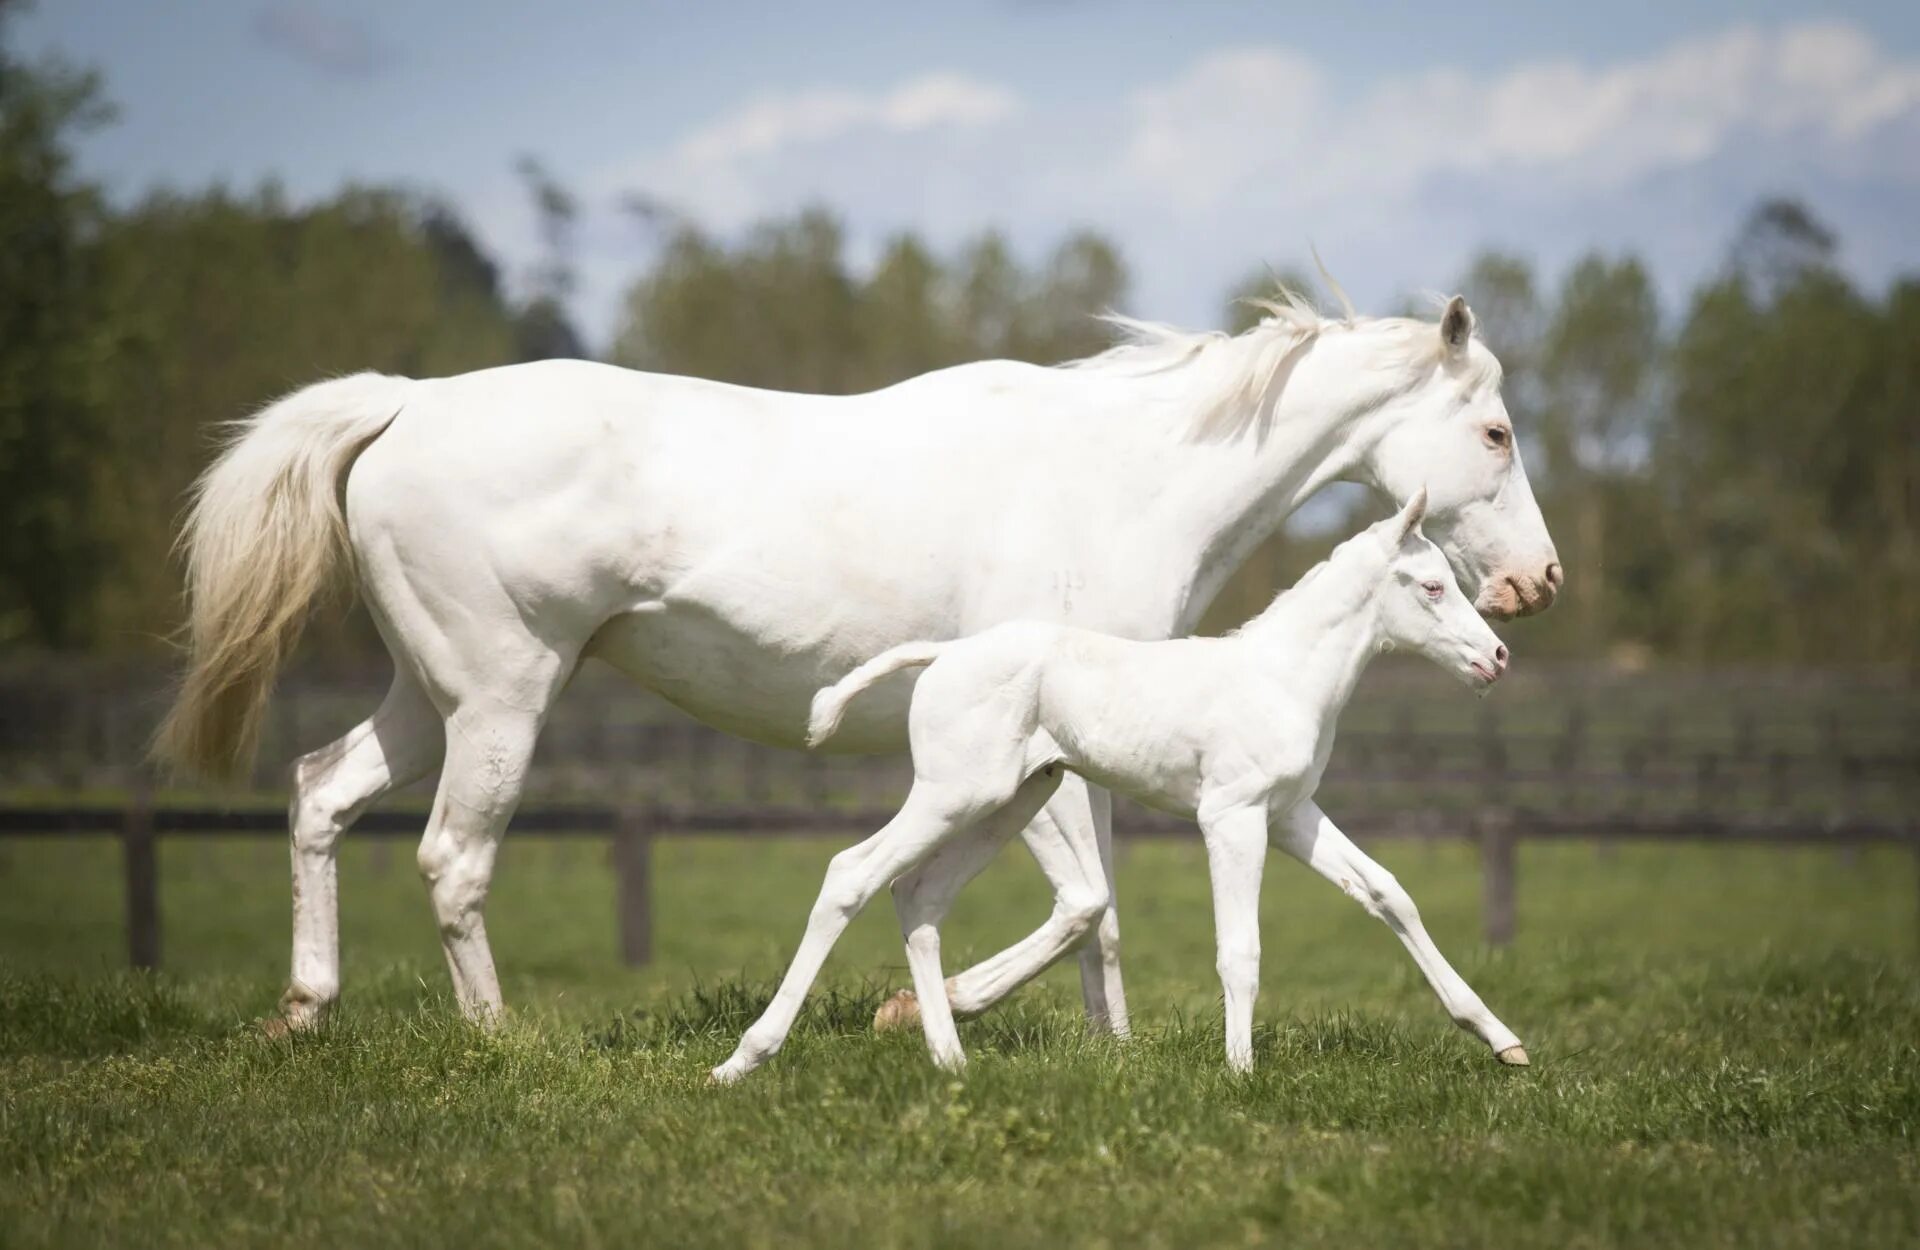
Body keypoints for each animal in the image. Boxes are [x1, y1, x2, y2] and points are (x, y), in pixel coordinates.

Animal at [721, 491, 1528, 1082]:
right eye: (1432, 586)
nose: (1497, 657)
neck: (1281, 676)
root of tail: (944, 655)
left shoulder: (1291, 813)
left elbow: (1388, 893)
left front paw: (1501, 1039)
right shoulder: (1231, 817)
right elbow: (1240, 948)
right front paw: (1240, 1074)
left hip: (1008, 801)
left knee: (918, 896)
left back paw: (950, 1059)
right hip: (954, 795)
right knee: (850, 874)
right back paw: (743, 1060)